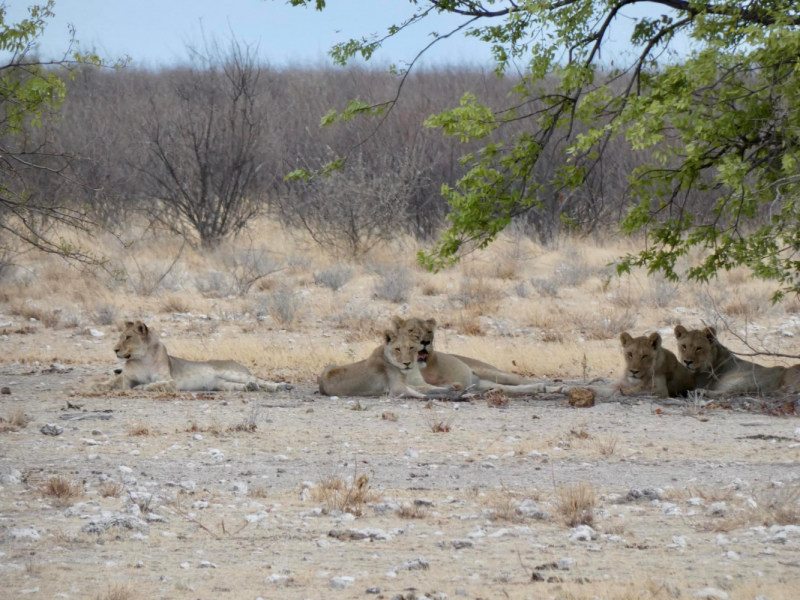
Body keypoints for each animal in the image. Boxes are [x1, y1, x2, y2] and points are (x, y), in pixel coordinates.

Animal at [96, 318, 290, 394]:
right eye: (120, 337)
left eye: (128, 337)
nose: (115, 350)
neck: (142, 359)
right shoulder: (126, 379)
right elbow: (114, 383)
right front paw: (98, 385)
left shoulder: (170, 381)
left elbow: (157, 384)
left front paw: (142, 387)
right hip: (222, 384)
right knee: (241, 385)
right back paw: (250, 388)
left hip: (231, 373)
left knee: (260, 380)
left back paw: (280, 386)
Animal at [318, 326, 456, 396]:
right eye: (398, 349)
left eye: (411, 348)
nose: (407, 363)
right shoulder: (397, 388)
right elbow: (421, 390)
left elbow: (426, 386)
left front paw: (449, 389)